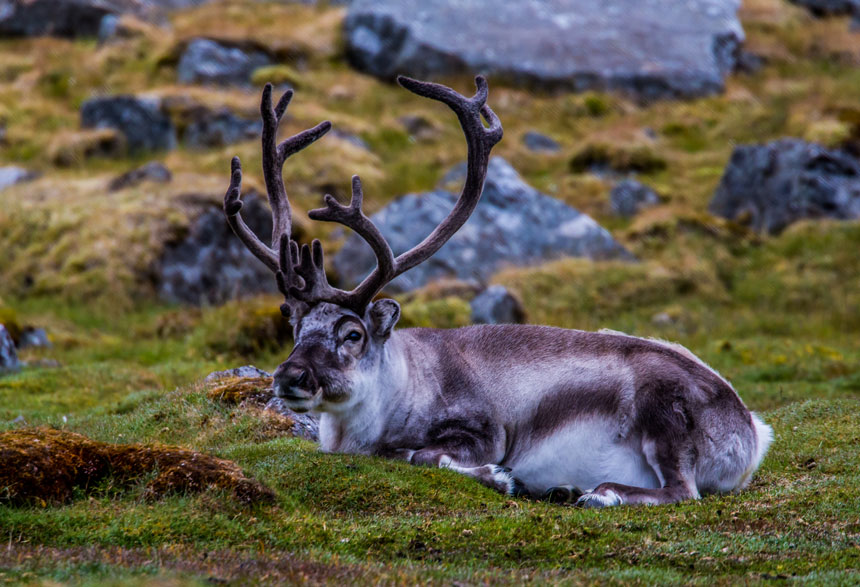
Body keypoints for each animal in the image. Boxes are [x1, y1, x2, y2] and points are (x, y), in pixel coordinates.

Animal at [223, 76, 773, 507]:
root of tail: (751, 429)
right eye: (295, 324)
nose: (289, 375)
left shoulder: (485, 430)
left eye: (352, 333)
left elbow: (422, 455)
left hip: (666, 419)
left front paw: (501, 476)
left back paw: (599, 492)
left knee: (683, 491)